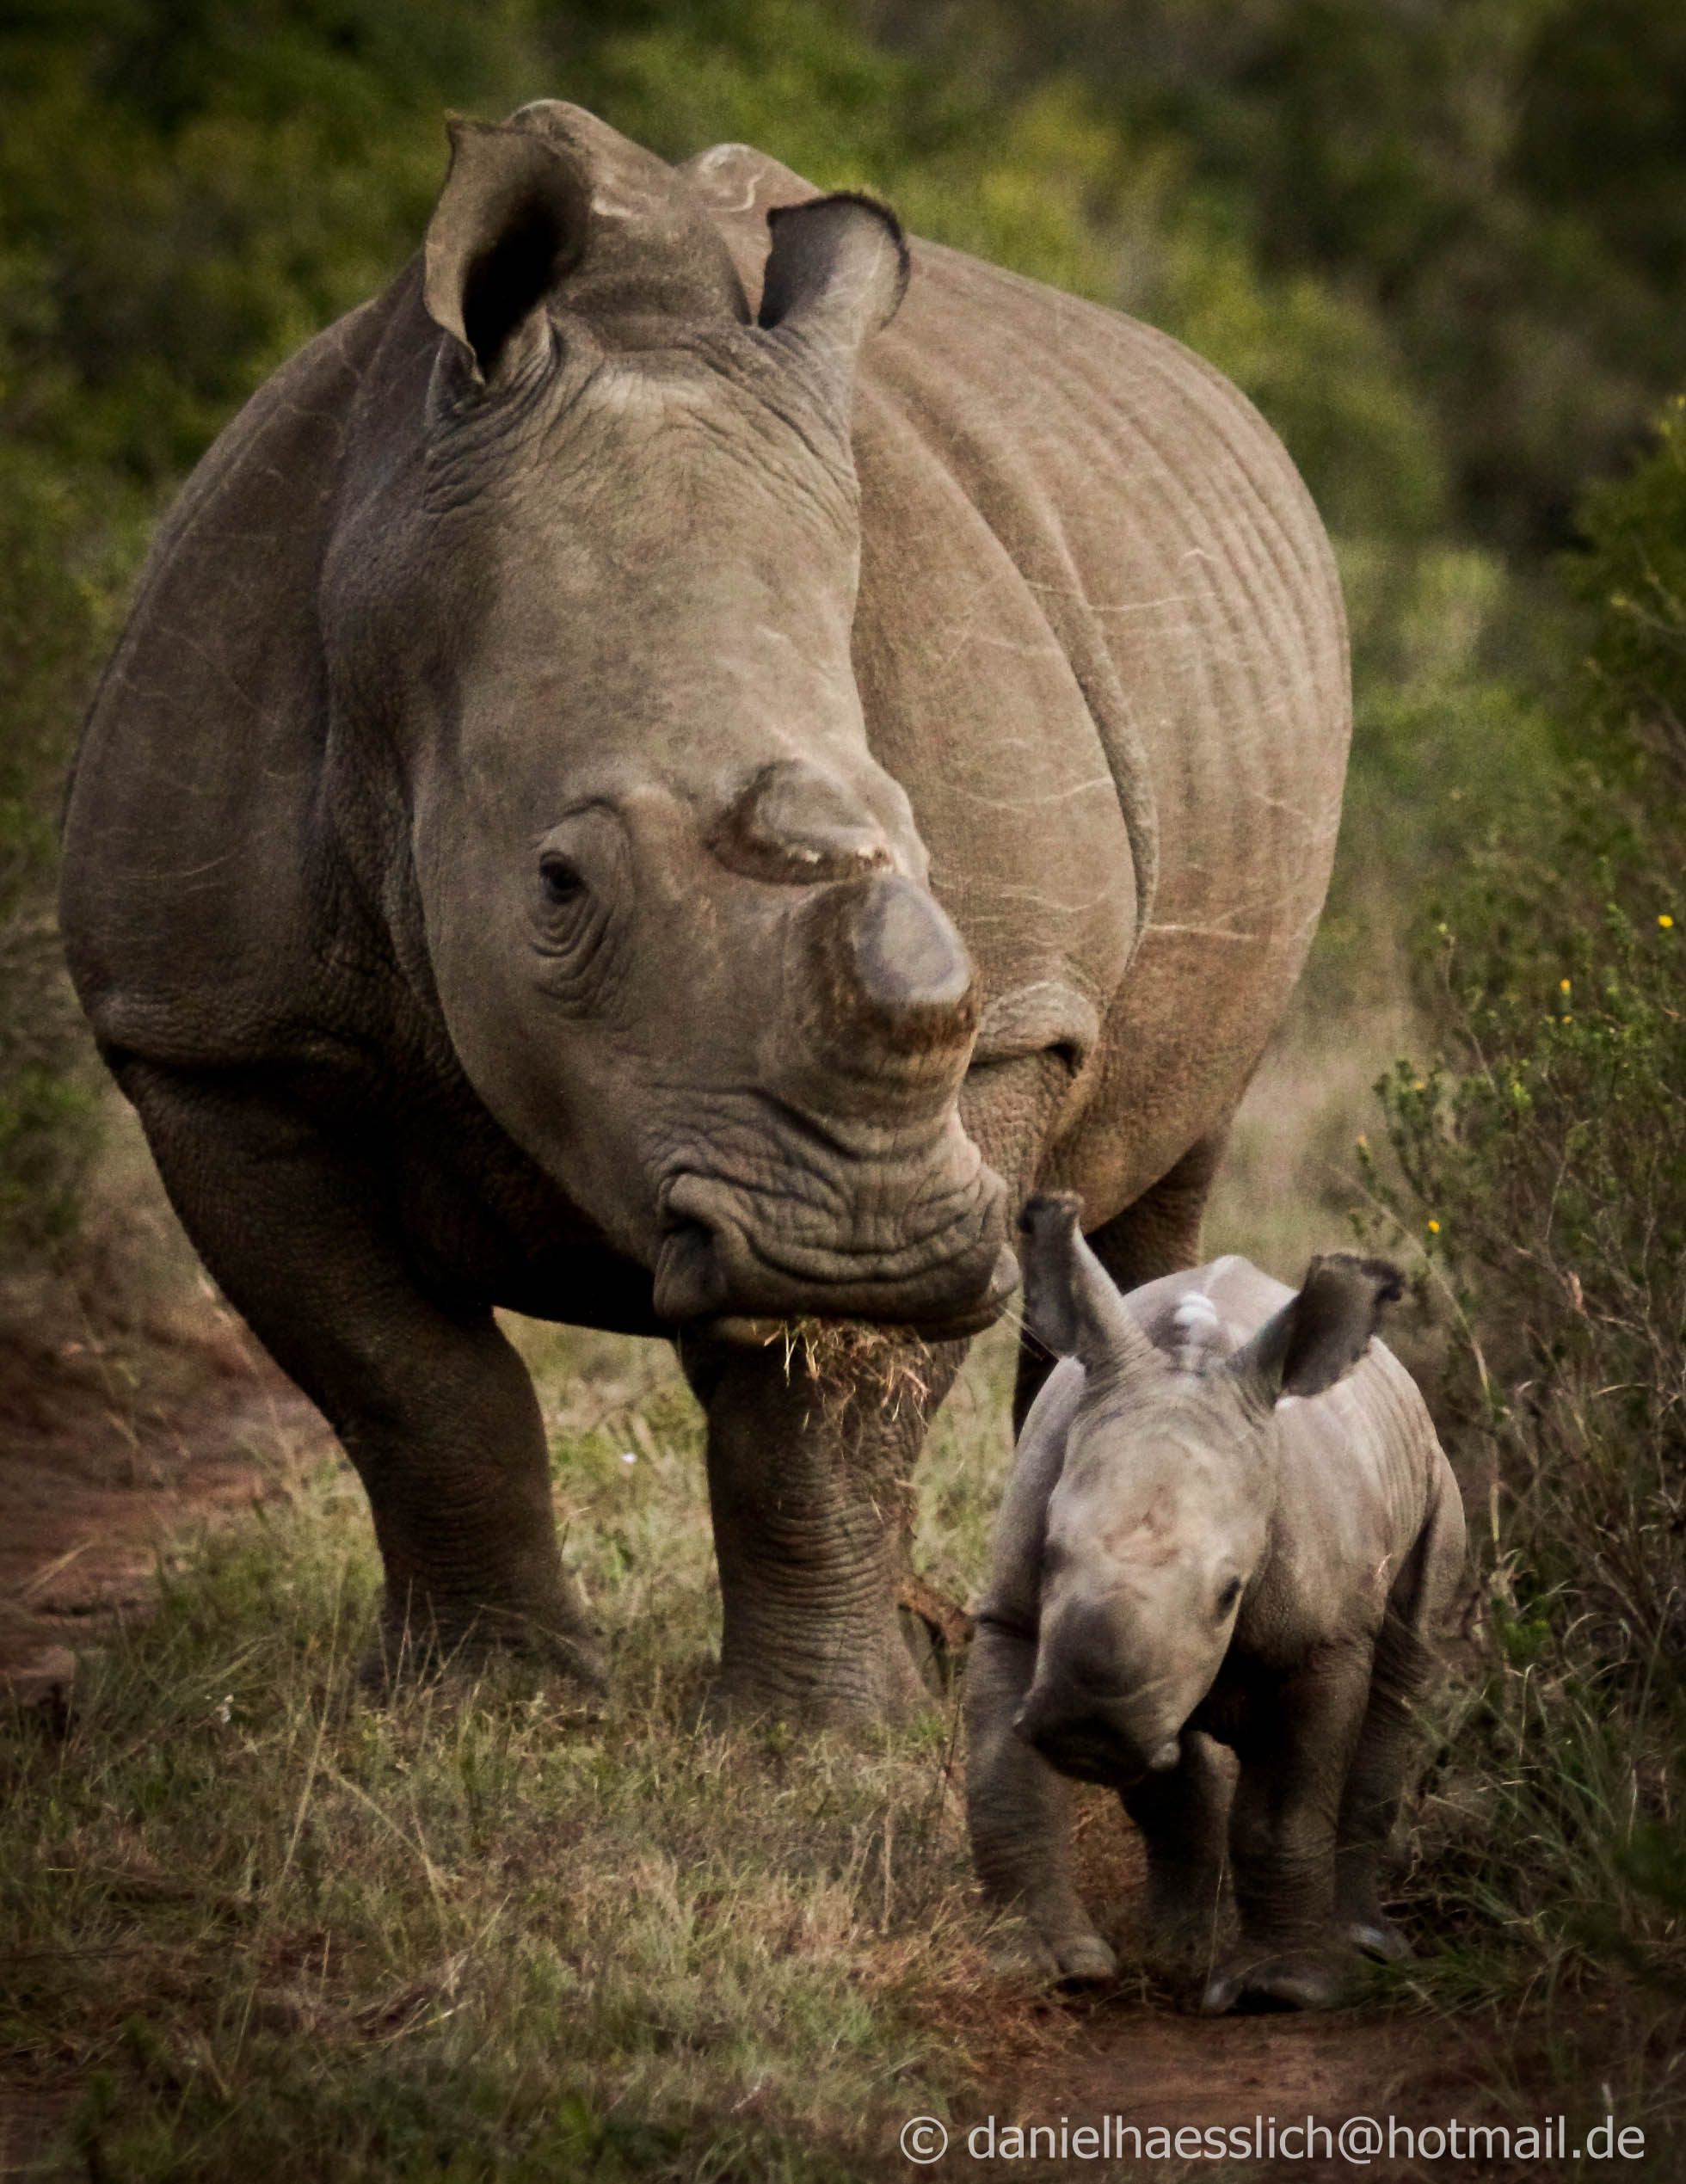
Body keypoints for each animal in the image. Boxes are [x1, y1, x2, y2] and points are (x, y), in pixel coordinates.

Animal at [969, 1197, 1468, 2009]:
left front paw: (1282, 1990)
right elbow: (1001, 1775)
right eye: (1049, 1555)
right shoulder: (1013, 1613)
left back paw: (1365, 1946)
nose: (1091, 1725)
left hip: (1432, 1488)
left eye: (1230, 1591)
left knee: (1399, 1683)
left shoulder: (1322, 1644)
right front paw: (1044, 1967)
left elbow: (1285, 1810)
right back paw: (1179, 1951)